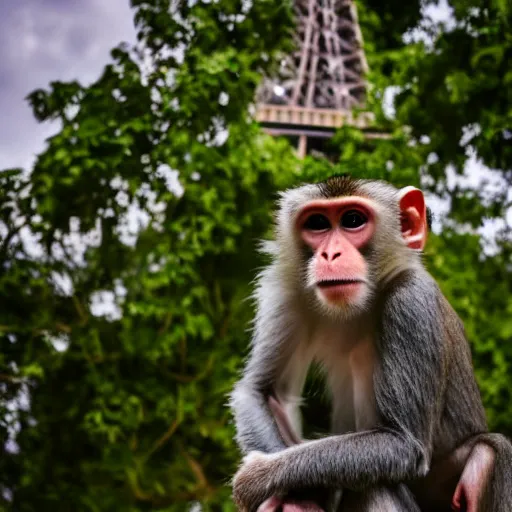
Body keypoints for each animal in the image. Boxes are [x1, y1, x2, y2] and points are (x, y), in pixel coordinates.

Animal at [230, 177, 512, 512]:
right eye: (317, 223)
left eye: (353, 220)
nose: (330, 255)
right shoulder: (287, 290)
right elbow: (262, 391)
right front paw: (296, 497)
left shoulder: (412, 301)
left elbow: (403, 444)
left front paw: (263, 478)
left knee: (488, 452)